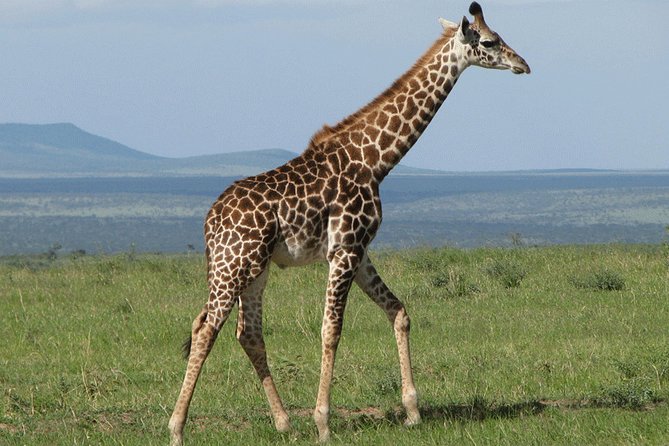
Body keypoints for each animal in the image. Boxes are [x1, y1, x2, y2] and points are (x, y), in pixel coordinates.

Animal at [169, 2, 530, 444]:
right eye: (491, 41)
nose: (523, 64)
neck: (375, 160)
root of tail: (210, 221)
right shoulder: (344, 250)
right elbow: (331, 330)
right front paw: (323, 421)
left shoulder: (359, 250)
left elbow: (398, 311)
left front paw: (413, 412)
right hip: (234, 265)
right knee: (204, 328)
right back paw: (177, 428)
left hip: (256, 269)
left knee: (247, 332)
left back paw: (283, 422)